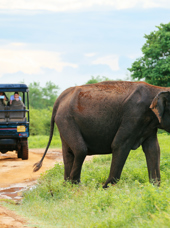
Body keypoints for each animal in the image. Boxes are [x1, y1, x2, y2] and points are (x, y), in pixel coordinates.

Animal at [33, 81, 170, 188]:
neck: (157, 89)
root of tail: (60, 97)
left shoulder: (149, 124)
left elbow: (153, 149)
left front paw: (155, 188)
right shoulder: (134, 115)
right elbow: (119, 145)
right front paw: (105, 188)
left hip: (63, 120)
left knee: (68, 152)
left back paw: (67, 186)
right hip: (66, 119)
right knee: (80, 150)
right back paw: (74, 186)